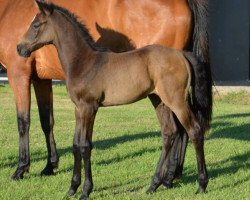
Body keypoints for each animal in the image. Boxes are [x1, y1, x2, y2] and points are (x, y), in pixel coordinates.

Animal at [0, 0, 209, 189]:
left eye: (35, 24)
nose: (19, 48)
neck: (85, 61)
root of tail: (181, 55)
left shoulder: (89, 107)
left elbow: (84, 145)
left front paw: (85, 189)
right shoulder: (78, 108)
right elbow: (75, 143)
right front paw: (71, 187)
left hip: (176, 101)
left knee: (193, 130)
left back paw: (198, 183)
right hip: (159, 100)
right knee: (170, 133)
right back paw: (156, 184)